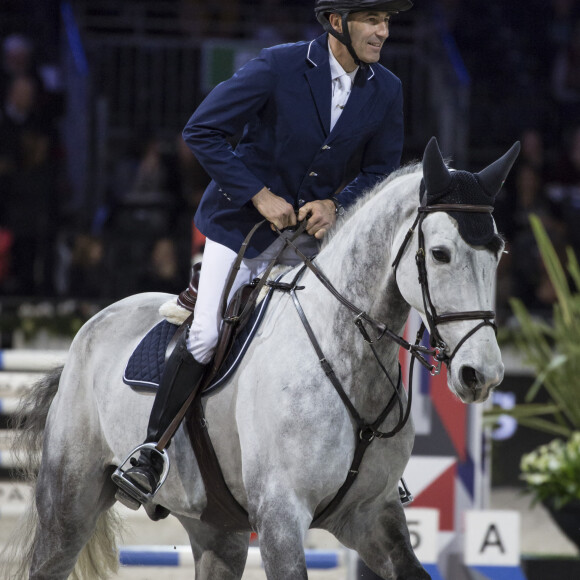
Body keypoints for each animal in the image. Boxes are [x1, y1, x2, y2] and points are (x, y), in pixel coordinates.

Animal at [2, 138, 520, 576]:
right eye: (440, 254)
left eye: (498, 252)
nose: (482, 375)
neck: (348, 361)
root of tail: (94, 323)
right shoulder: (280, 516)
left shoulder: (371, 515)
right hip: (70, 502)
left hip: (216, 528)